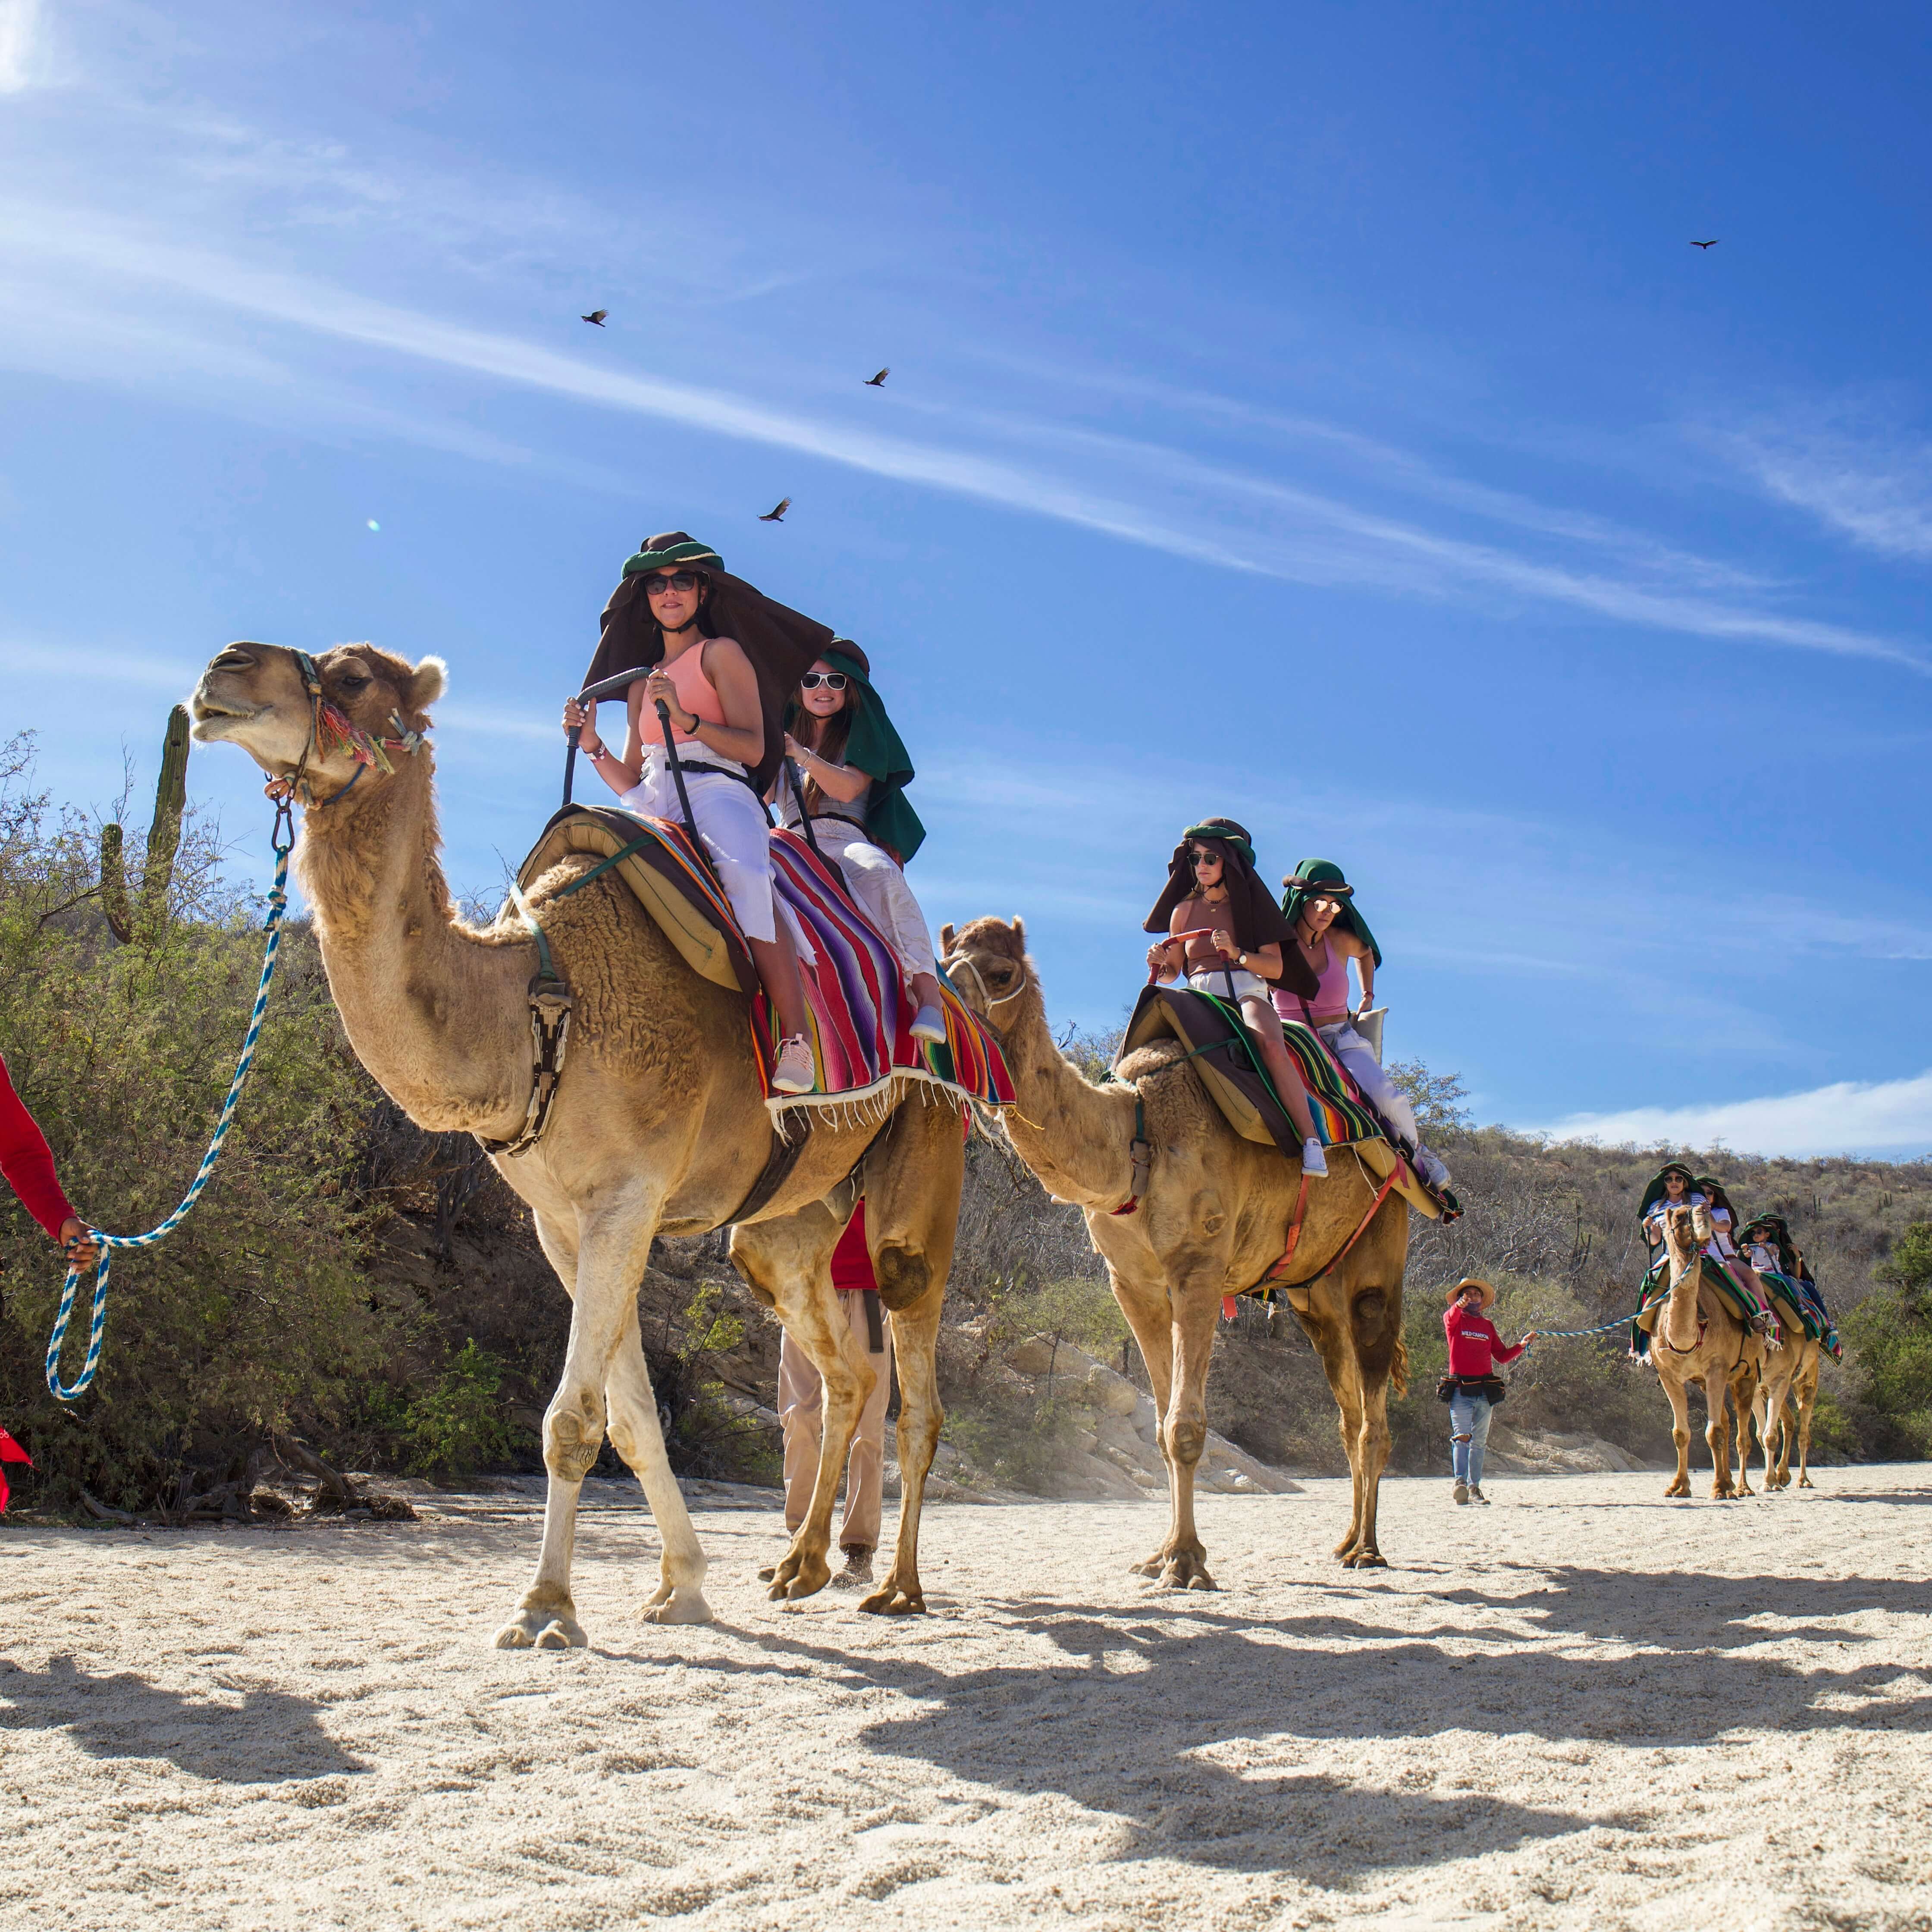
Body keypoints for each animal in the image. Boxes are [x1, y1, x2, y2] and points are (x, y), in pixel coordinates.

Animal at [188, 641, 958, 1638]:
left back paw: (896, 1584)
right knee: (846, 1371)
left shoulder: (626, 1197)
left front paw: (547, 1604)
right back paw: (800, 1564)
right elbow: (630, 1416)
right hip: (790, 1221)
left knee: (914, 1380)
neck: (538, 1006)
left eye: (353, 676)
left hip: (924, 1150)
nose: (223, 670)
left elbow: (571, 1418)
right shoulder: (562, 1218)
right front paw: (681, 1583)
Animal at [935, 916, 1406, 1568]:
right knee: (1348, 1411)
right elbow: (1160, 1427)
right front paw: (1161, 1555)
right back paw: (1346, 1541)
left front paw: (1185, 1563)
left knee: (1374, 1417)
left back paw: (1368, 1549)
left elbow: (1186, 1425)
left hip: (1379, 1255)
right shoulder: (1132, 1284)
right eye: (943, 959)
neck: (1137, 1135)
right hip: (1314, 1292)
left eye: (1001, 972)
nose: (942, 1012)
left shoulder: (1199, 1267)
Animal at [1638, 1205, 1769, 1507]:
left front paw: (1719, 1488)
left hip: (1746, 1373)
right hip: (1709, 1382)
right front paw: (1679, 1487)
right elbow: (1681, 1433)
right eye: (1677, 1217)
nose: (1704, 1216)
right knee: (1726, 1422)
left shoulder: (1716, 1369)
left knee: (1742, 1433)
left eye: (1705, 1210)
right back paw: (1732, 1483)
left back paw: (1742, 1487)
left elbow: (1714, 1431)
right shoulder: (1670, 1377)